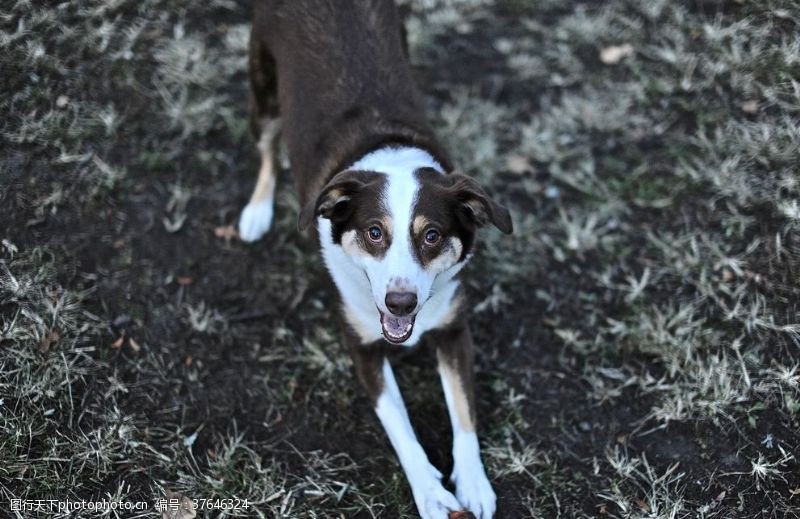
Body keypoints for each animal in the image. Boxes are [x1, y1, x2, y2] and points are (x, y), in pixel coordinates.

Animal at [239, 2, 512, 516]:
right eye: (373, 233)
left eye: (432, 236)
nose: (401, 303)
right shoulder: (362, 344)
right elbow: (400, 426)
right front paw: (431, 492)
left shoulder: (453, 328)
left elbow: (463, 412)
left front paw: (473, 481)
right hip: (262, 90)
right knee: (266, 150)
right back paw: (257, 210)